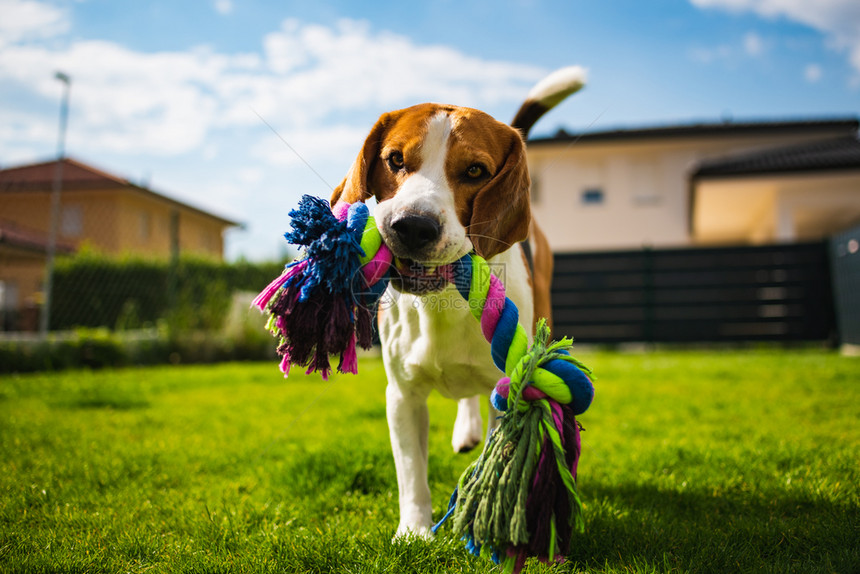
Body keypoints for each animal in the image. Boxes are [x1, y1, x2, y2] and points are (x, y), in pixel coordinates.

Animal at [330, 67, 584, 540]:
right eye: (395, 160)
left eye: (475, 170)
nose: (412, 225)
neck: (442, 303)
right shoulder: (402, 395)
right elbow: (411, 472)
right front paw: (414, 531)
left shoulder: (512, 386)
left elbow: (501, 454)